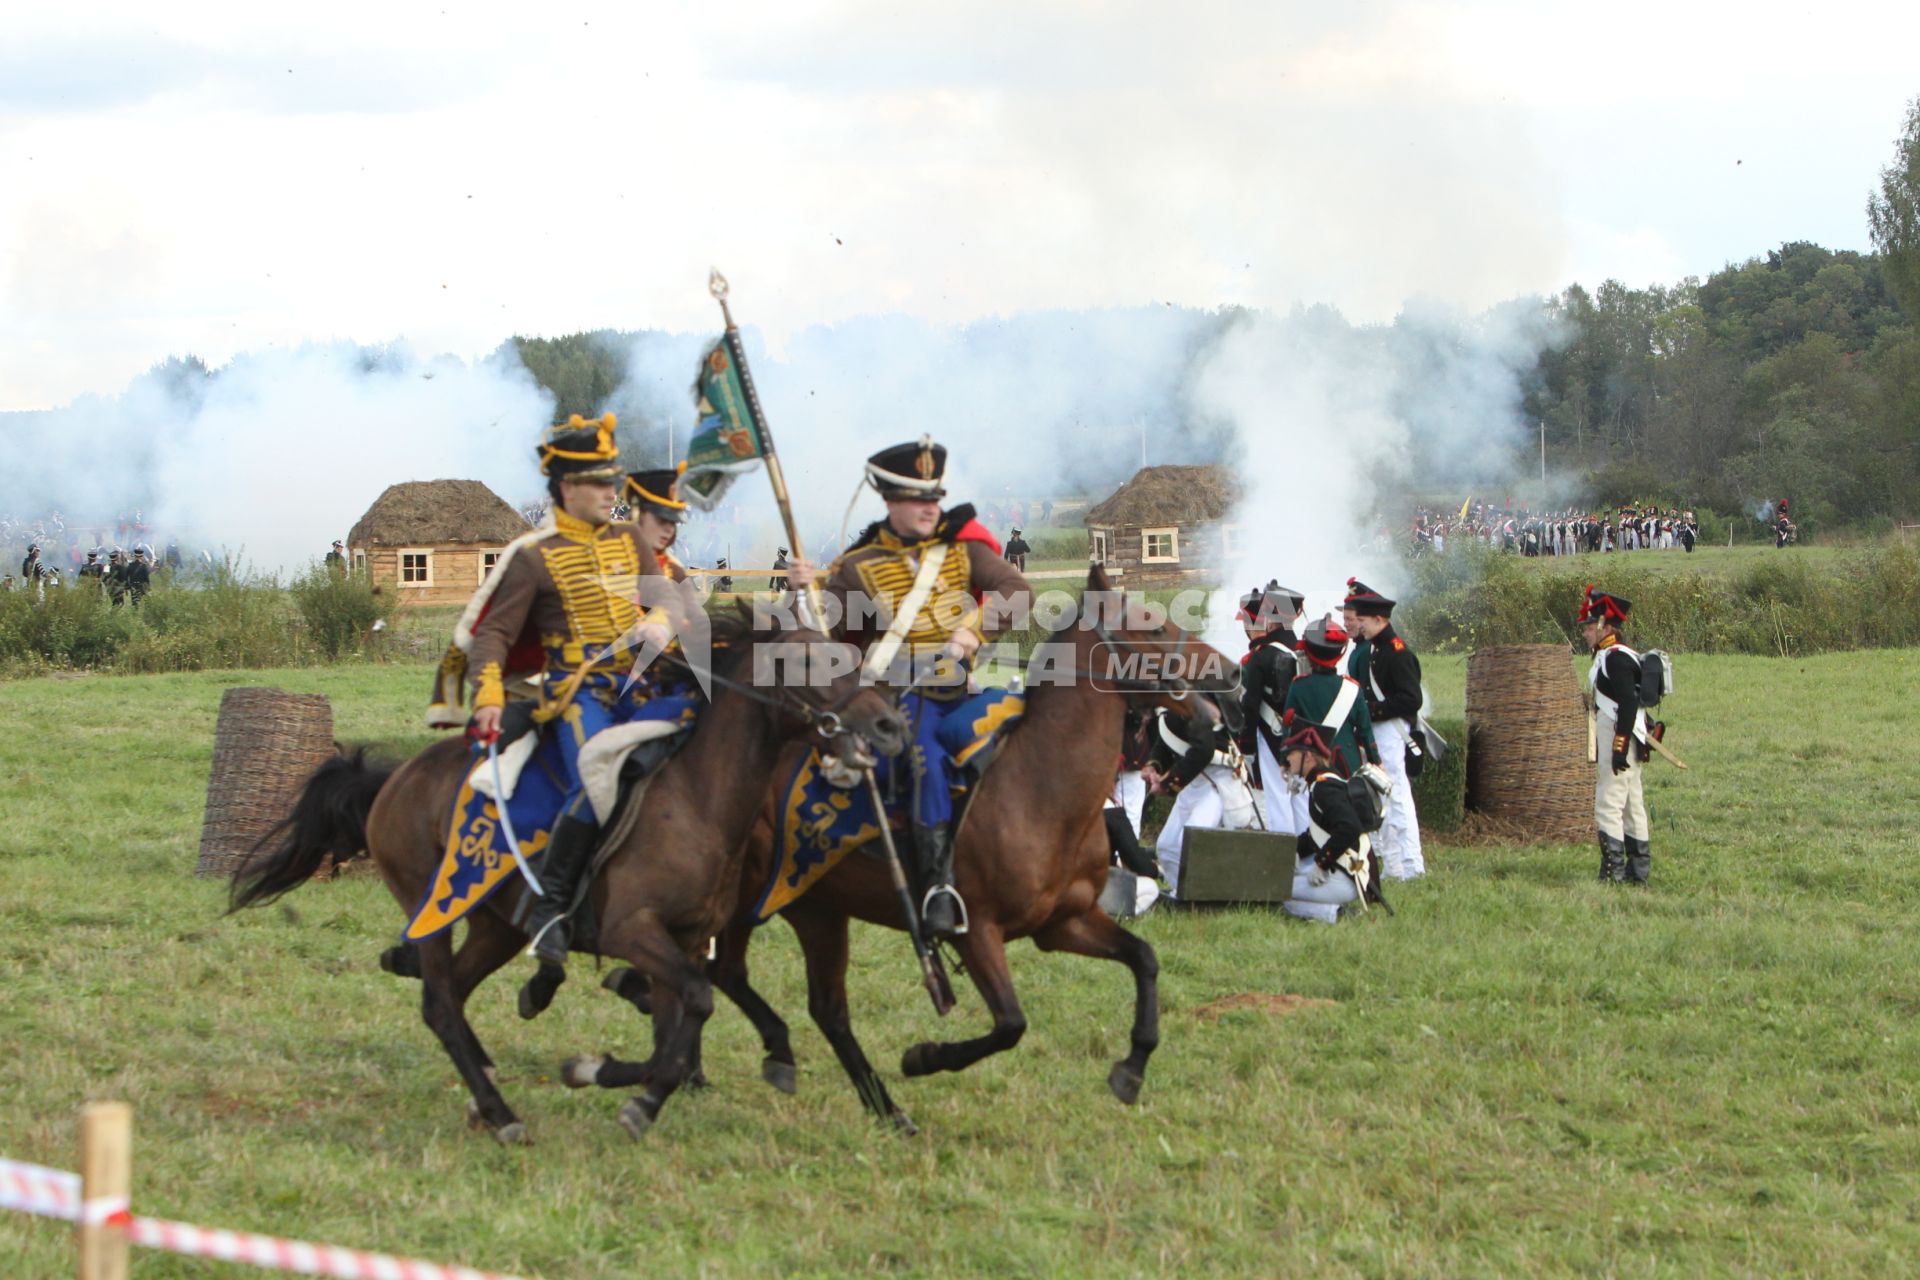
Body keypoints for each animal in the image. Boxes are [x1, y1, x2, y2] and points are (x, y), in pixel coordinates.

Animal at [230, 614, 906, 1143]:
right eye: (807, 662)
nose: (889, 726)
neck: (696, 797)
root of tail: (393, 782)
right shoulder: (633, 933)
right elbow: (695, 1006)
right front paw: (631, 1098)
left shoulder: (683, 943)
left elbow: (675, 1033)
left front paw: (607, 1077)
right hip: (434, 908)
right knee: (440, 1005)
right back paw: (501, 1113)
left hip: (495, 926)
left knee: (457, 992)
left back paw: (485, 1088)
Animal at [576, 564, 1228, 1136]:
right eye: (1149, 625)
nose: (1222, 684)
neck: (1040, 786)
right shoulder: (976, 931)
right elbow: (1010, 1024)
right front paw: (925, 1057)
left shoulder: (1064, 923)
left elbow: (1144, 961)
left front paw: (1131, 1069)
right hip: (754, 903)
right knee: (722, 977)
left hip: (810, 907)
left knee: (767, 989)